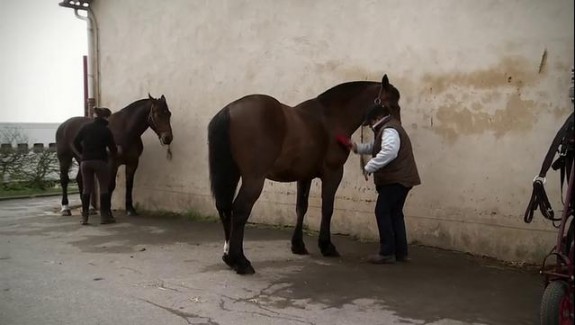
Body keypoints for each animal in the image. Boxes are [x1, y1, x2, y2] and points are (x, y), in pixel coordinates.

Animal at [209, 74, 402, 274]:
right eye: (392, 104)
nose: (395, 130)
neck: (331, 118)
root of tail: (229, 111)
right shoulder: (333, 173)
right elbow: (327, 208)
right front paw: (326, 246)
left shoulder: (304, 176)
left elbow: (301, 208)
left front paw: (298, 245)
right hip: (253, 178)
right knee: (240, 210)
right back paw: (240, 261)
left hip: (232, 174)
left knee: (224, 209)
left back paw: (229, 257)